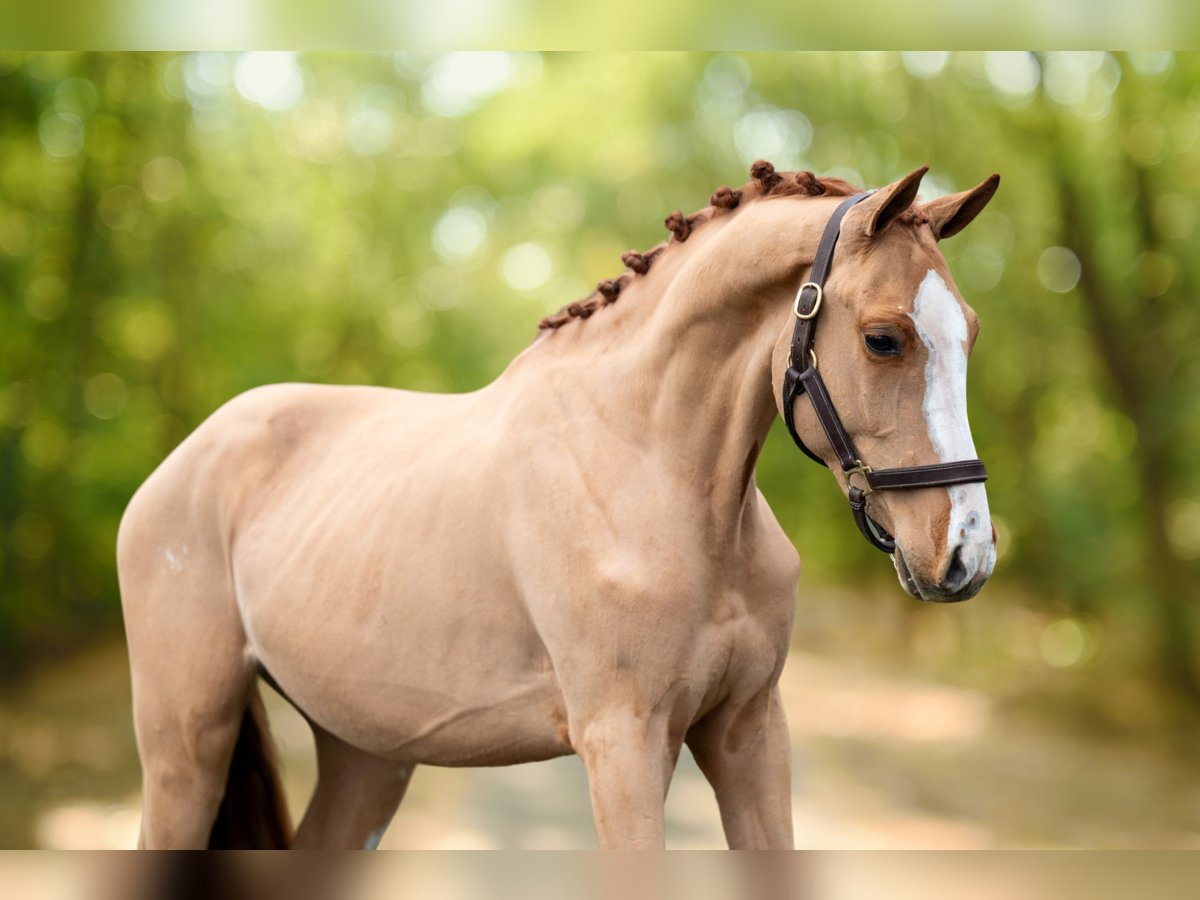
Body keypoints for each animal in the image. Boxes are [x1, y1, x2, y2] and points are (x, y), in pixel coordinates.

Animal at [119, 164, 1003, 854]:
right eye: (884, 338)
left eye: (970, 331)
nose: (967, 554)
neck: (650, 468)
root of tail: (181, 463)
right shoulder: (623, 744)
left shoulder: (748, 729)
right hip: (185, 749)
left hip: (363, 754)